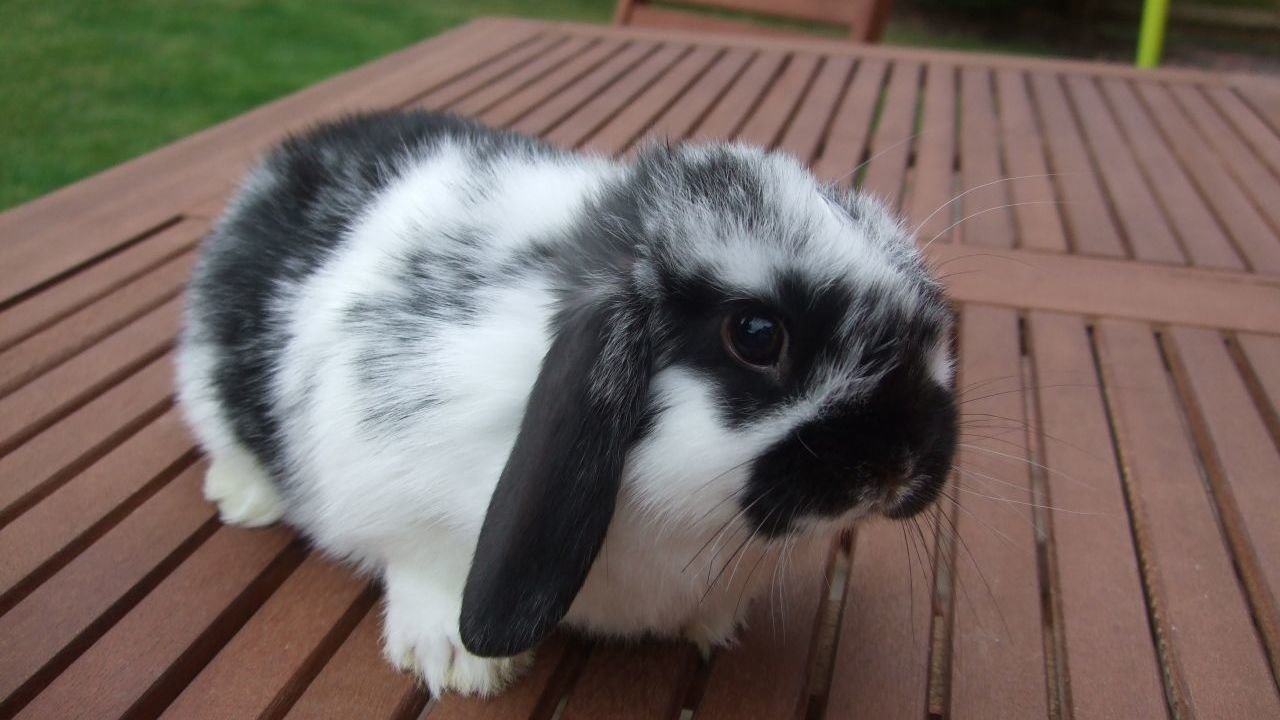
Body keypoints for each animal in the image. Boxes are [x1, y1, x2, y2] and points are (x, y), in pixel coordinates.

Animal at [176, 109, 958, 697]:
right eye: (756, 334)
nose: (900, 465)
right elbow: (423, 567)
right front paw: (458, 664)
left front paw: (713, 627)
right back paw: (246, 497)